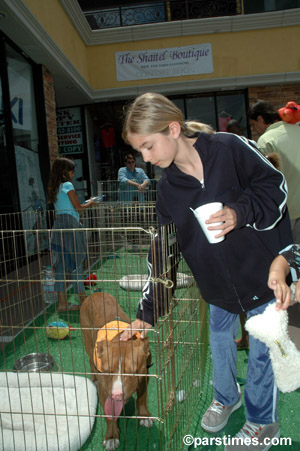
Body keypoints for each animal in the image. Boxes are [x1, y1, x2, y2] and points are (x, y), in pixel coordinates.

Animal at [79, 294, 152, 451]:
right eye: (107, 371)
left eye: (133, 372)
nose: (116, 395)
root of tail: (94, 294)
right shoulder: (104, 389)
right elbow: (109, 414)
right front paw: (111, 436)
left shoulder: (145, 376)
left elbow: (142, 397)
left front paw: (144, 416)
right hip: (88, 340)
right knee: (90, 360)